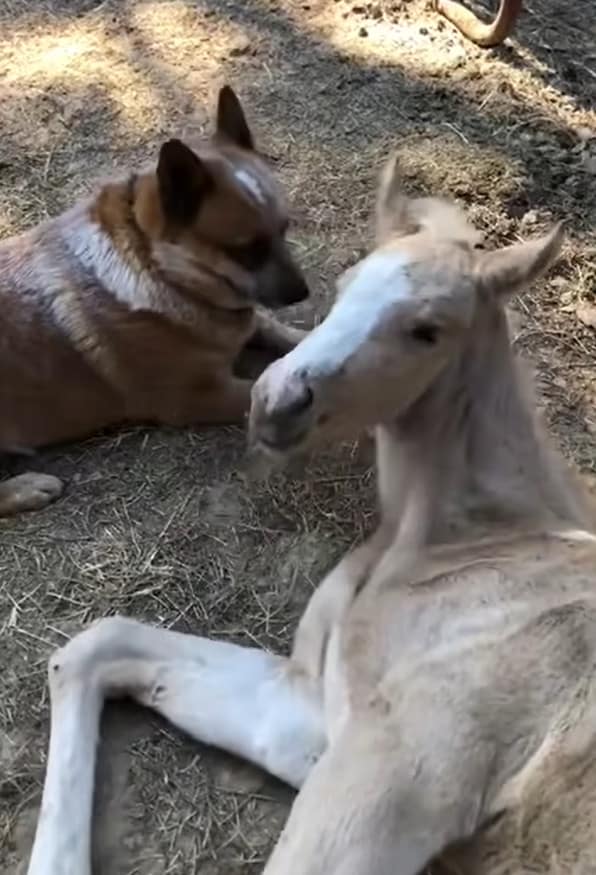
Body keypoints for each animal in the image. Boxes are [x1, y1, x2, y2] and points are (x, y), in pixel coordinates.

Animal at [0, 85, 308, 516]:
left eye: (285, 228)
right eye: (247, 250)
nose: (303, 292)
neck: (160, 269)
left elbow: (283, 332)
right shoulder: (197, 398)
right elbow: (258, 393)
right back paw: (27, 487)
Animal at [26, 159, 596, 875]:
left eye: (428, 331)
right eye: (347, 284)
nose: (274, 401)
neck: (467, 541)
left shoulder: (391, 773)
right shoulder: (311, 713)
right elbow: (98, 642)